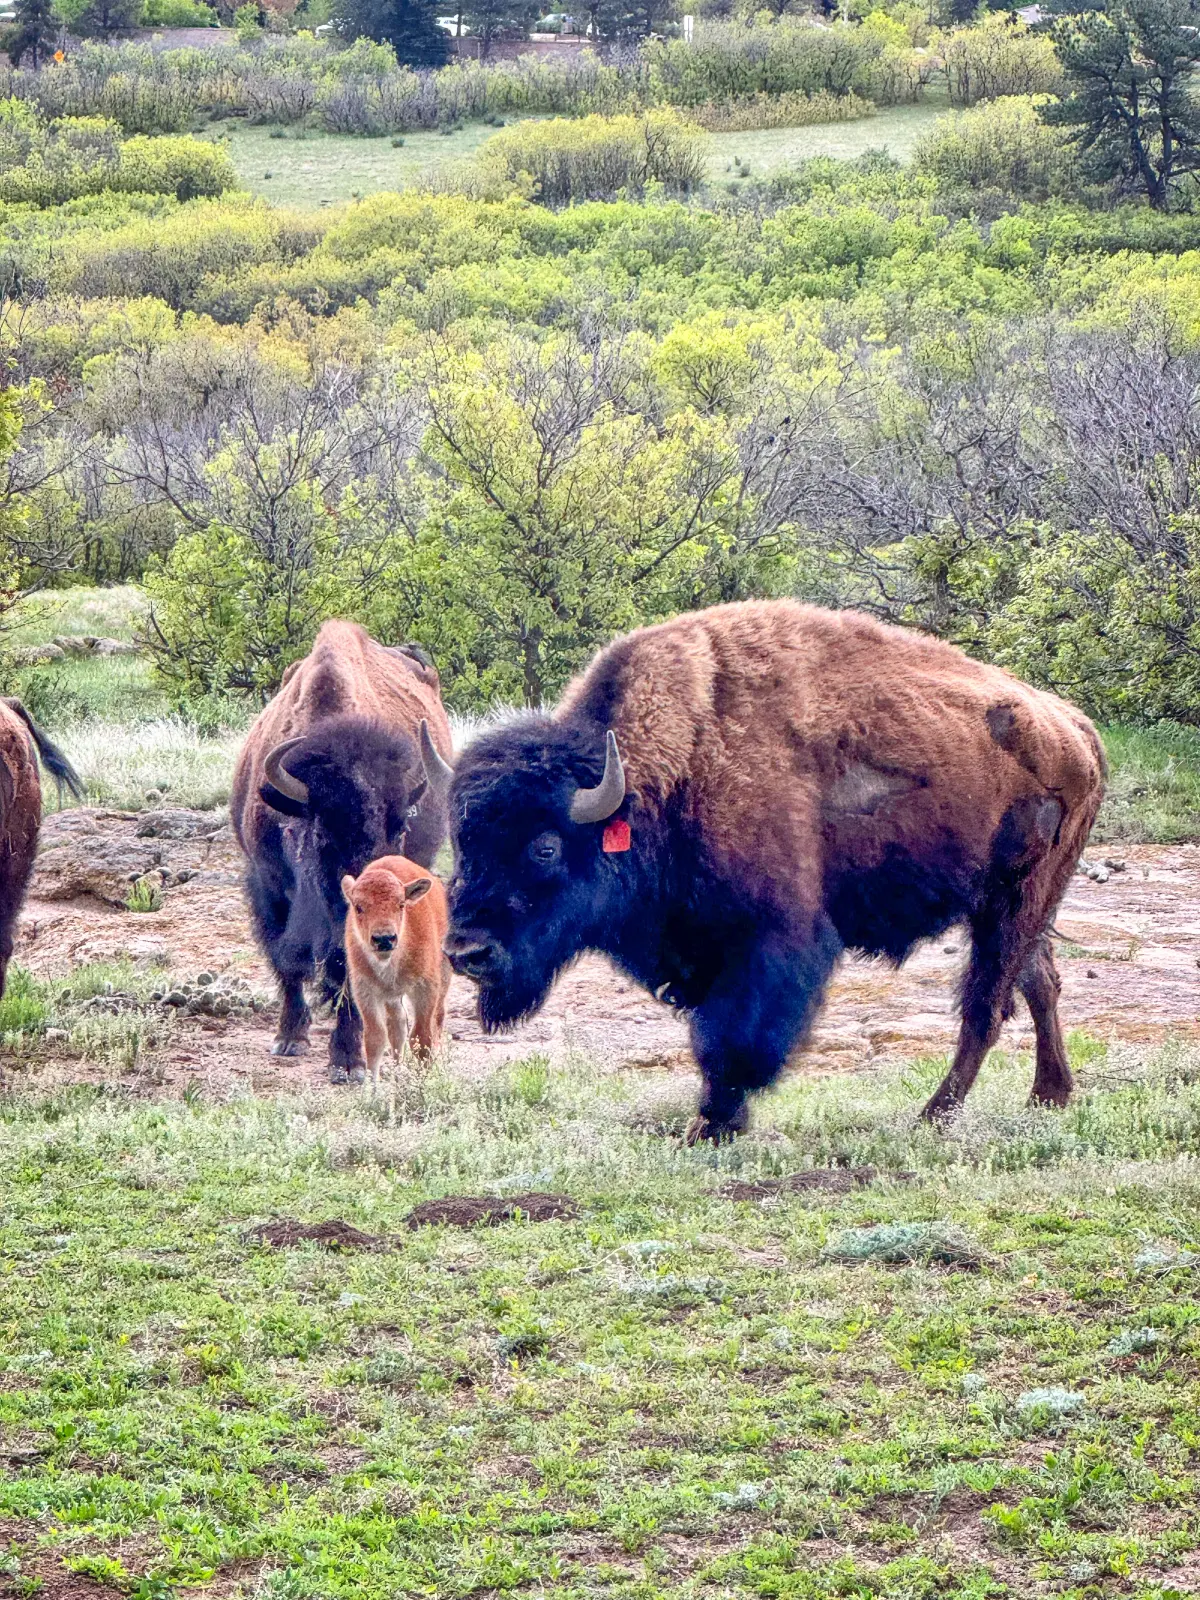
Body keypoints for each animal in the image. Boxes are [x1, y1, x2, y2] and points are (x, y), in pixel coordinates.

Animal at [231, 620, 453, 1081]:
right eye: (322, 832)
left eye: (400, 827)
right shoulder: (267, 888)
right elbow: (287, 961)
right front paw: (290, 1038)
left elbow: (344, 968)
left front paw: (348, 1061)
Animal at [424, 601, 1106, 1140]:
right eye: (463, 844)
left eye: (544, 848)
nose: (467, 953)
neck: (675, 773)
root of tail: (1075, 728)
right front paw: (716, 1122)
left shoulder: (771, 940)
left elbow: (732, 1038)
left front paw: (711, 1127)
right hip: (1014, 905)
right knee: (1040, 984)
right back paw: (1048, 1097)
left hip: (1015, 901)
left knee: (985, 1008)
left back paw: (933, 1116)